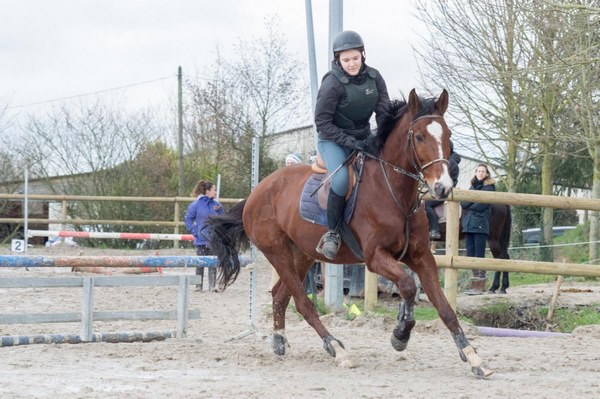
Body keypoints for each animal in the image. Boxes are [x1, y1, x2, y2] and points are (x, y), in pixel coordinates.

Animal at [206, 89, 492, 380]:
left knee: (280, 295)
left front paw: (473, 358)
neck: (394, 192)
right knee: (303, 303)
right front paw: (400, 334)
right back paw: (336, 348)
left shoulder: (422, 257)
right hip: (277, 252)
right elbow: (408, 286)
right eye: (420, 136)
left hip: (303, 254)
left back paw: (280, 341)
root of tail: (258, 191)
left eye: (448, 135)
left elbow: (444, 308)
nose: (443, 187)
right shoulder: (375, 257)